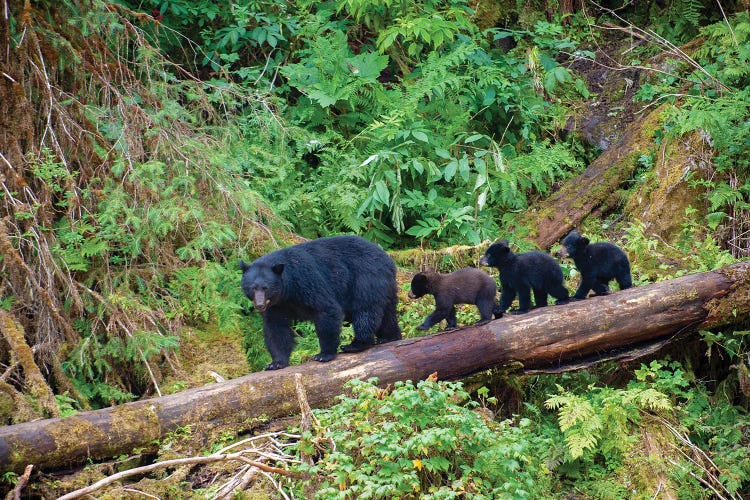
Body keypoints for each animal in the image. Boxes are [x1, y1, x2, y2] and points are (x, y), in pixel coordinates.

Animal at [244, 235, 402, 372]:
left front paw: (324, 354)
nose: (259, 305)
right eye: (253, 288)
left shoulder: (306, 280)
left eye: (266, 288)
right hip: (386, 287)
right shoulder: (276, 305)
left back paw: (356, 344)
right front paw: (276, 362)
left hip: (366, 278)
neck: (287, 291)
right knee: (387, 312)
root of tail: (388, 260)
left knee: (365, 311)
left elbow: (326, 309)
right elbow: (276, 328)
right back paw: (389, 337)